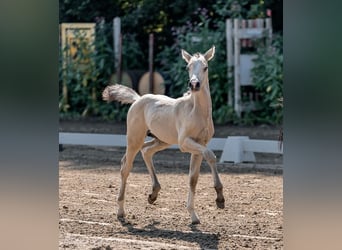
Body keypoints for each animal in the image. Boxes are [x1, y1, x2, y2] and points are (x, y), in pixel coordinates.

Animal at [102, 46, 224, 224]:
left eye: (205, 67)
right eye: (187, 67)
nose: (194, 84)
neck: (196, 112)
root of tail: (138, 99)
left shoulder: (200, 145)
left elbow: (193, 179)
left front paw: (194, 216)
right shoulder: (185, 143)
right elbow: (211, 155)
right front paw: (220, 198)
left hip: (162, 140)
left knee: (146, 151)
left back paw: (153, 193)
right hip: (134, 139)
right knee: (126, 167)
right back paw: (121, 212)